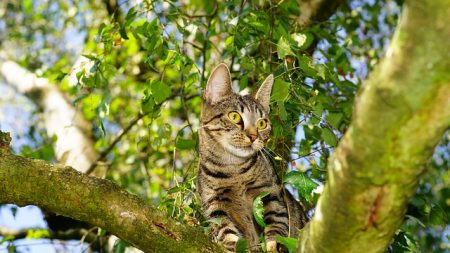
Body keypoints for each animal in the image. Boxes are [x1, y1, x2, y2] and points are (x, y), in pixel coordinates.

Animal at [199, 63, 308, 251]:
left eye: (262, 123)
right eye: (234, 116)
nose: (253, 136)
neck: (233, 169)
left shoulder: (271, 194)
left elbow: (275, 229)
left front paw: (272, 247)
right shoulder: (215, 205)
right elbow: (225, 230)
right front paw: (232, 244)